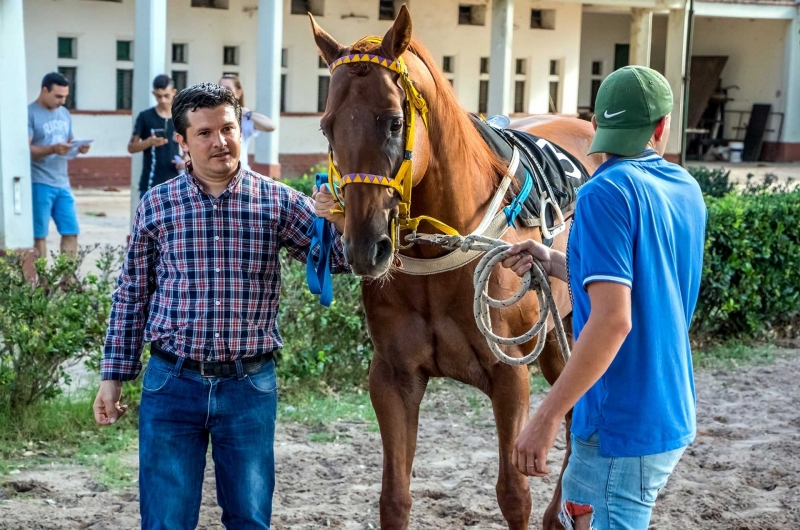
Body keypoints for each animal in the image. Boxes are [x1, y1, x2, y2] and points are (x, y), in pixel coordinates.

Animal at [312, 6, 600, 524]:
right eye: (327, 126)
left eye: (392, 122)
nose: (365, 247)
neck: (441, 256)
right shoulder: (393, 377)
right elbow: (395, 498)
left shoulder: (509, 377)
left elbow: (513, 494)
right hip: (555, 332)